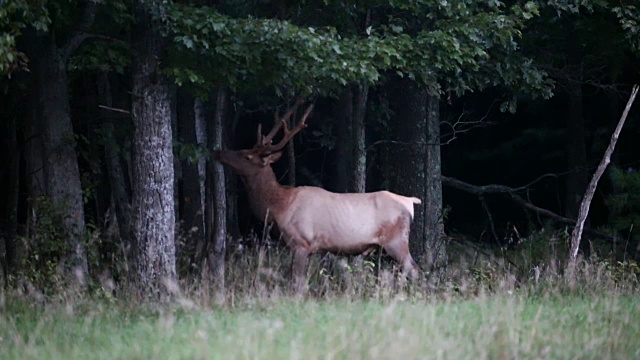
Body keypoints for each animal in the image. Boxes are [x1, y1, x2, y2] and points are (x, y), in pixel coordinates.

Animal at [218, 100, 422, 292]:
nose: (218, 152)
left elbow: (297, 283)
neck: (279, 206)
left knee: (414, 269)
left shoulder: (302, 242)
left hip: (396, 239)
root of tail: (410, 201)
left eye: (247, 156)